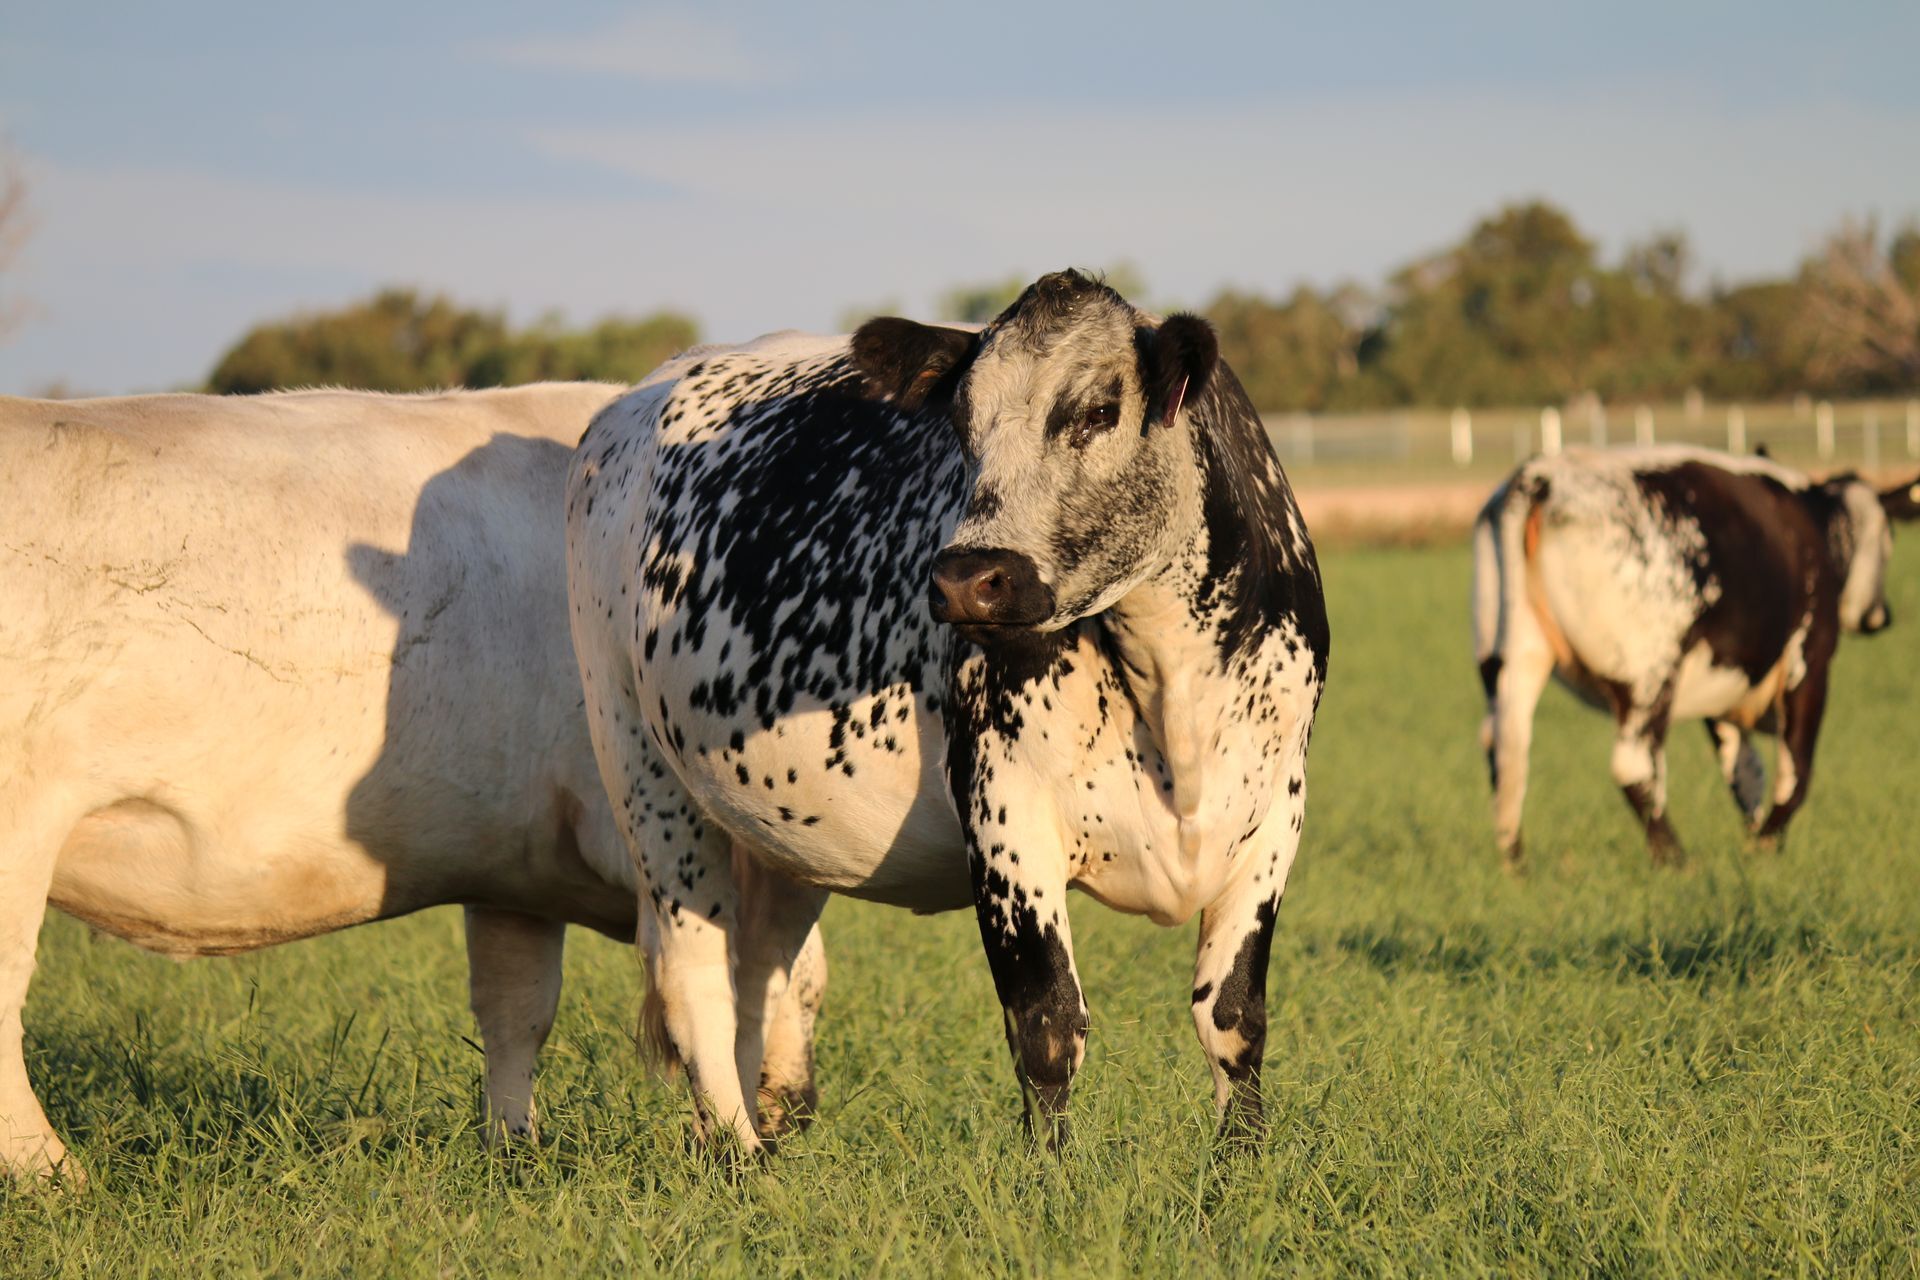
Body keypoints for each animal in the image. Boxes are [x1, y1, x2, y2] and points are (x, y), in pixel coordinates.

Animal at [0, 385, 826, 1184]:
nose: (798, 1112)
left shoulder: (515, 869)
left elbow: (516, 1007)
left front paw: (515, 1151)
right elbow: (773, 974)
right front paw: (753, 1121)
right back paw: (54, 1173)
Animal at [566, 269, 1330, 1156]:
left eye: (1100, 409)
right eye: (962, 423)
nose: (969, 578)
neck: (1171, 689)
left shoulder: (1277, 810)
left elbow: (1233, 1016)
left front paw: (1241, 1163)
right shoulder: (1004, 809)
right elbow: (1048, 1025)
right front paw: (1051, 1174)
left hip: (776, 829)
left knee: (763, 973)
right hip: (640, 770)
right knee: (697, 985)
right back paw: (739, 1155)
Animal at [1472, 444, 1920, 868]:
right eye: (1889, 537)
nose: (1880, 616)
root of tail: (1543, 475)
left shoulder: (1722, 689)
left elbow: (1746, 774)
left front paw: (1753, 847)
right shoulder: (1808, 660)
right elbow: (1795, 772)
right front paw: (1764, 849)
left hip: (1511, 660)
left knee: (1506, 753)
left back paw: (1518, 868)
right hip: (1649, 673)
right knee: (1634, 766)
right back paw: (1677, 862)